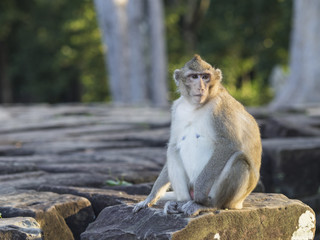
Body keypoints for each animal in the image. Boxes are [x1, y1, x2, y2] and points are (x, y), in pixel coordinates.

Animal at [134, 55, 262, 217]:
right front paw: (150, 197)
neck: (195, 107)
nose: (201, 87)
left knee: (239, 161)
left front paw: (201, 193)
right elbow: (174, 143)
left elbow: (228, 144)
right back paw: (180, 202)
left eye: (205, 77)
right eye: (194, 77)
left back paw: (206, 205)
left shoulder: (221, 107)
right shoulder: (177, 109)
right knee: (173, 150)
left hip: (233, 198)